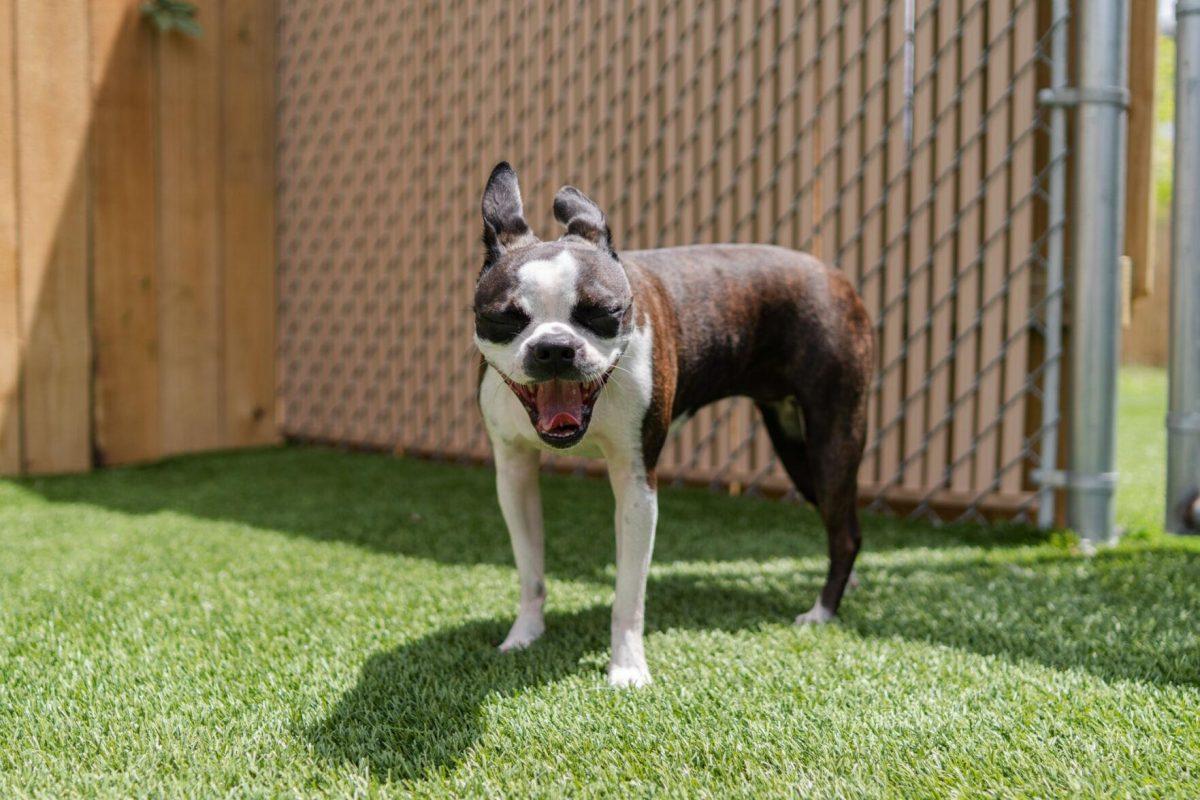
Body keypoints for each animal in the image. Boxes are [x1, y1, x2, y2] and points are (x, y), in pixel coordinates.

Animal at [472, 163, 878, 690]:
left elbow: (628, 594)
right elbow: (531, 571)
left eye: (602, 313)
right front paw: (524, 635)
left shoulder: (636, 484)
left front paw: (627, 668)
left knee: (844, 531)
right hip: (796, 449)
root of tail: (834, 275)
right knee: (843, 524)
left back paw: (821, 612)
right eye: (505, 319)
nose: (555, 348)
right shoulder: (515, 475)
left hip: (832, 440)